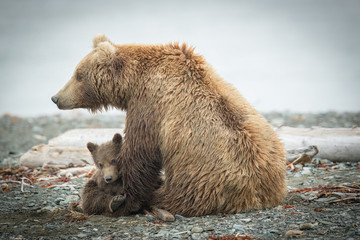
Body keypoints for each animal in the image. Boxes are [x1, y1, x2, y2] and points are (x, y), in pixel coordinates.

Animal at [51, 34, 286, 217]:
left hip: (201, 180)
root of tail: (259, 196)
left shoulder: (150, 104)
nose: (56, 98)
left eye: (78, 75)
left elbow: (140, 153)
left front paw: (128, 199)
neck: (133, 82)